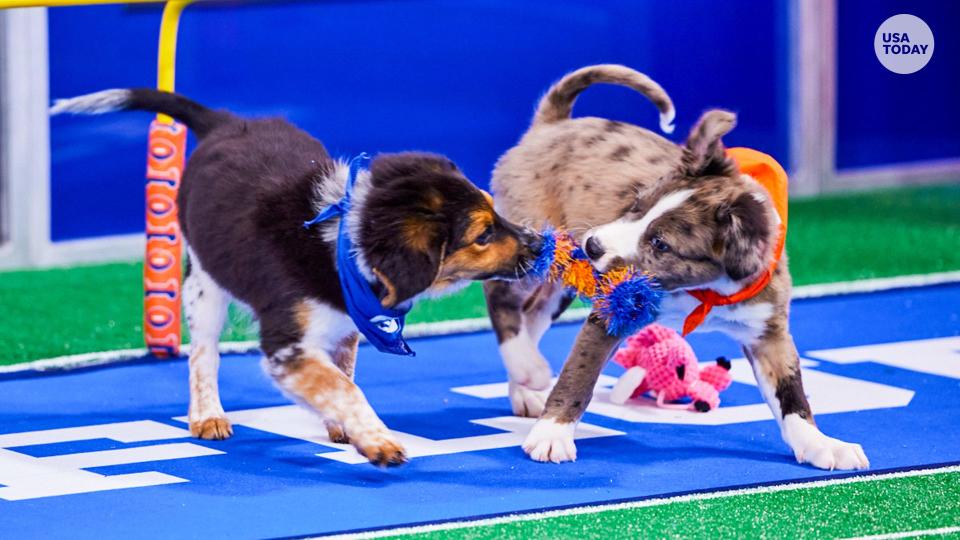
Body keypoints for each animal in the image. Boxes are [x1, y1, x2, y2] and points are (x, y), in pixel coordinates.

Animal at [54, 87, 540, 464]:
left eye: (495, 210)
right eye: (483, 234)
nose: (539, 244)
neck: (344, 244)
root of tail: (226, 122)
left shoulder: (346, 327)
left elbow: (341, 380)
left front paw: (350, 430)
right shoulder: (284, 345)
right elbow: (343, 388)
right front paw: (378, 441)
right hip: (202, 286)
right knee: (202, 356)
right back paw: (207, 415)